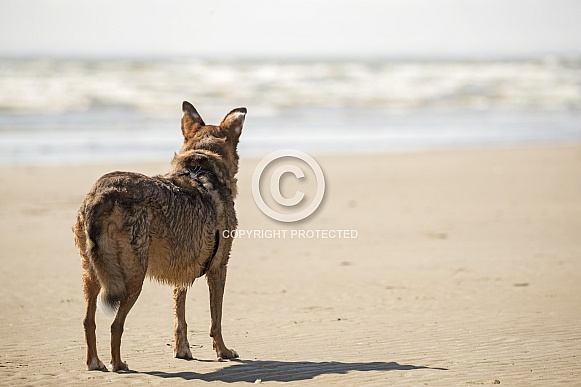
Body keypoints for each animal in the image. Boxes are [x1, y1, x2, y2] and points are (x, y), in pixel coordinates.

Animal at [72, 101, 245, 372]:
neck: (201, 167)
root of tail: (103, 195)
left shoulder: (182, 269)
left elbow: (180, 317)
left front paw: (182, 351)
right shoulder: (219, 268)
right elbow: (215, 320)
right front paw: (223, 352)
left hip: (93, 274)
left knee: (88, 321)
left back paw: (96, 363)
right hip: (132, 279)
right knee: (115, 325)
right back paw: (118, 364)